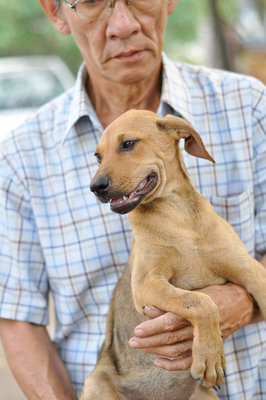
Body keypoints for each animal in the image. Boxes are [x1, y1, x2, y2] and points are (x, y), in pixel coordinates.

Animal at [80, 110, 266, 400]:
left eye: (128, 143)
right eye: (98, 156)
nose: (95, 186)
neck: (177, 215)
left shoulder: (250, 269)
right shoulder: (146, 285)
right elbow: (200, 302)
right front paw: (209, 356)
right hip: (95, 385)